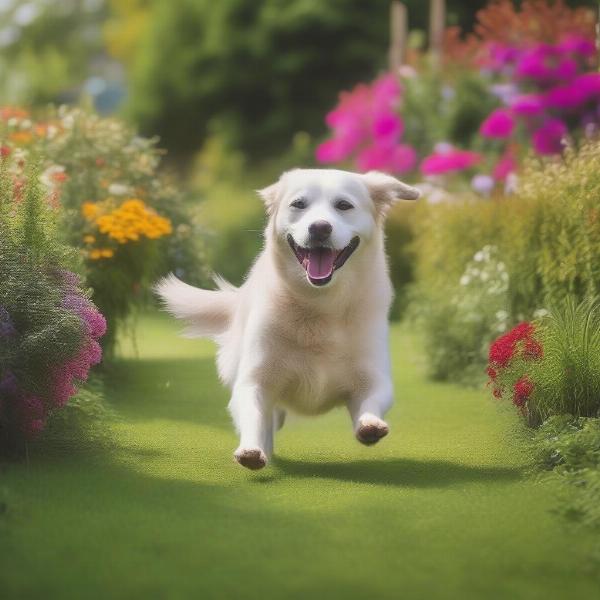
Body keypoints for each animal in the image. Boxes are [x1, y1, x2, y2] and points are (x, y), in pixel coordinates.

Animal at [157, 168, 420, 468]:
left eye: (343, 205)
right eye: (299, 204)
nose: (320, 227)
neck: (320, 306)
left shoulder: (373, 378)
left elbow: (371, 401)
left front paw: (370, 425)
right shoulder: (254, 380)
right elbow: (254, 413)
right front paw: (252, 449)